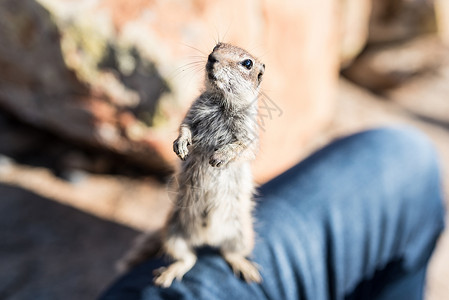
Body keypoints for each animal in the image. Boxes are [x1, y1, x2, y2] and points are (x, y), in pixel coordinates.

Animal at [120, 42, 266, 288]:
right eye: (216, 46)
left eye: (247, 63)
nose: (212, 58)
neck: (221, 102)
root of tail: (206, 238)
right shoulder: (192, 112)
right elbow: (184, 127)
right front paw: (180, 145)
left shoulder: (248, 133)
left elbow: (243, 148)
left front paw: (220, 157)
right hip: (173, 233)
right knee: (188, 258)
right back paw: (169, 273)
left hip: (242, 234)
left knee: (229, 253)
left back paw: (245, 267)